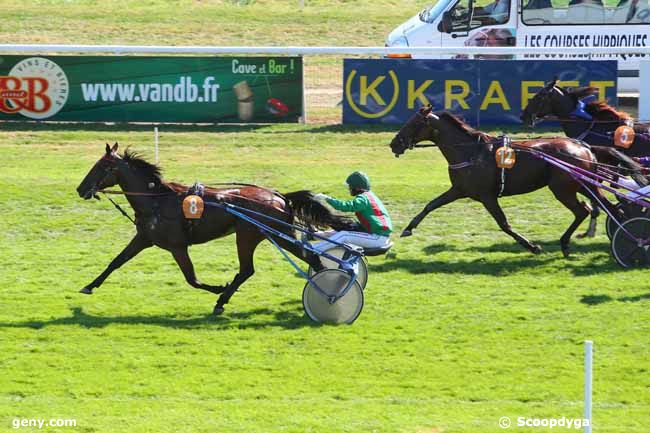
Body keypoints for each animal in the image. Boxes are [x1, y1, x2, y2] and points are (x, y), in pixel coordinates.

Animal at [76, 143, 352, 316]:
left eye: (100, 167)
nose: (81, 189)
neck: (157, 200)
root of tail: (278, 196)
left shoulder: (177, 246)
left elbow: (192, 279)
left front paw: (218, 288)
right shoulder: (144, 238)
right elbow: (116, 261)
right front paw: (89, 286)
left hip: (249, 235)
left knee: (248, 269)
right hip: (274, 235)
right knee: (309, 258)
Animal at [390, 106, 612, 256]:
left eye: (414, 123)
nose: (394, 143)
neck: (471, 152)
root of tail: (582, 146)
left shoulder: (487, 196)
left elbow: (504, 224)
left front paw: (532, 246)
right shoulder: (460, 189)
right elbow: (431, 205)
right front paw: (408, 228)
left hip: (562, 189)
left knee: (582, 210)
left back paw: (565, 243)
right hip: (583, 185)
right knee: (597, 206)